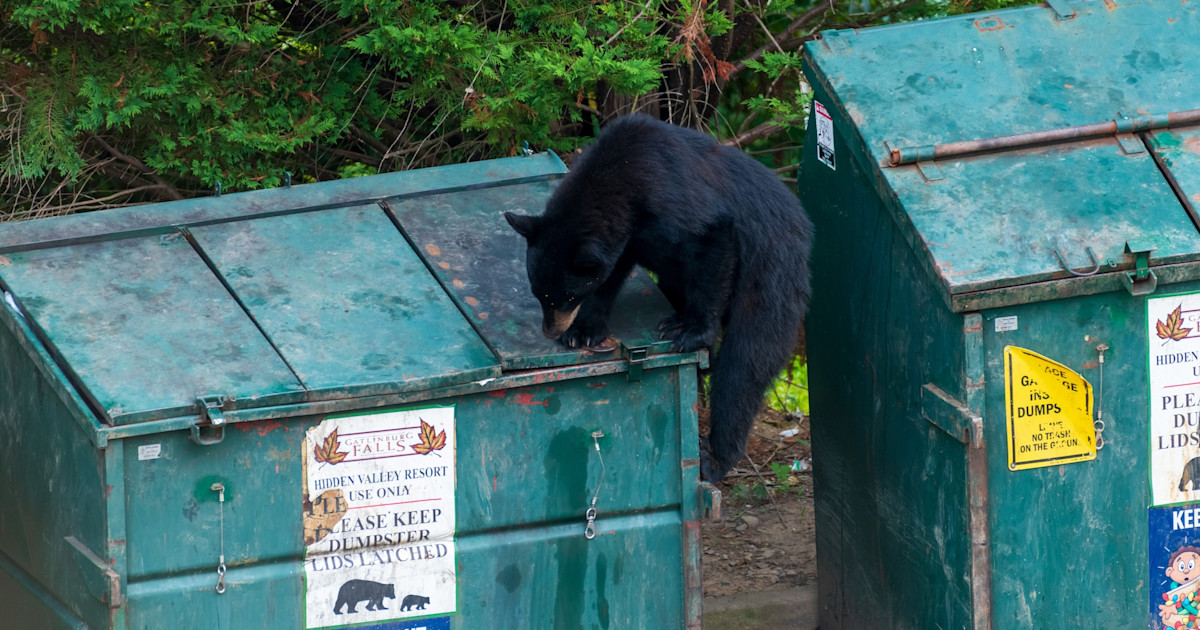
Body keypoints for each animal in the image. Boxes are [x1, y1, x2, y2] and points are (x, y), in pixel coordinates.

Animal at [505, 114, 813, 482]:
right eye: (540, 294)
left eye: (565, 296)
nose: (550, 330)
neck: (622, 177)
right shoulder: (625, 238)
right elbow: (610, 274)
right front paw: (584, 330)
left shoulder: (676, 200)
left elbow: (714, 236)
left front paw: (690, 331)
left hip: (770, 274)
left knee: (746, 362)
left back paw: (715, 458)